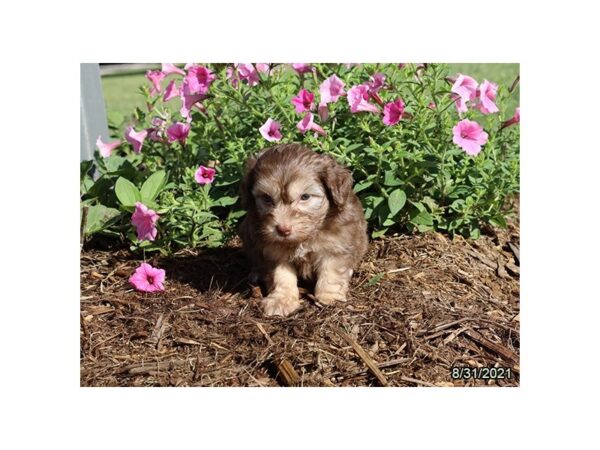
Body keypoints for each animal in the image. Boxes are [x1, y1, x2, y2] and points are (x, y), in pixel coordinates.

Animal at [241, 144, 368, 316]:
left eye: (305, 197)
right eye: (267, 198)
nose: (283, 229)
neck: (305, 238)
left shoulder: (336, 246)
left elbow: (331, 272)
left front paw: (330, 296)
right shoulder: (272, 251)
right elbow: (280, 276)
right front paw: (281, 300)